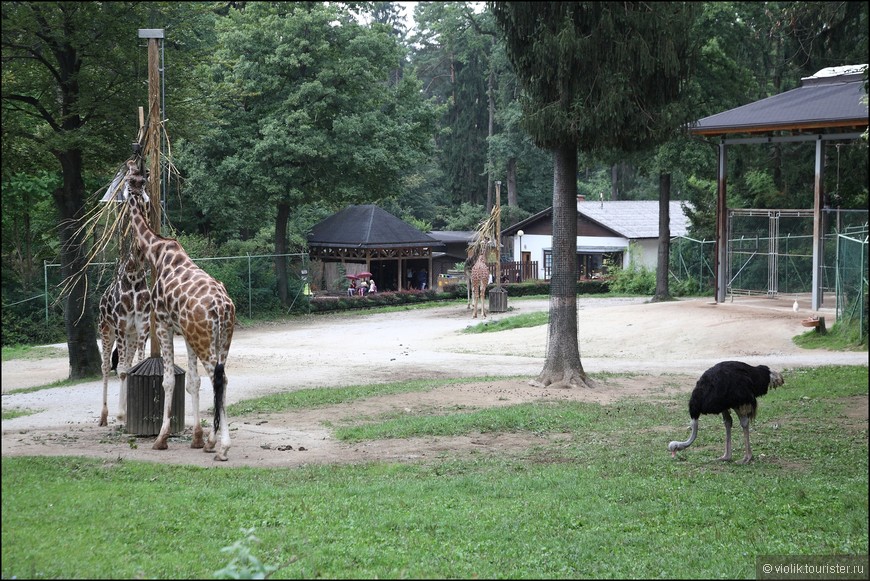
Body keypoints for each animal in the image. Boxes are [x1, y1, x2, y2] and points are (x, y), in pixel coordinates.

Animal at [98, 246, 151, 426]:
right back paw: (104, 416)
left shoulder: (143, 328)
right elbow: (120, 370)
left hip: (131, 336)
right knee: (106, 366)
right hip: (106, 330)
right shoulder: (120, 326)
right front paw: (120, 414)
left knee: (127, 365)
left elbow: (137, 366)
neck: (134, 279)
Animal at [122, 161, 238, 460]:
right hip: (221, 339)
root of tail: (222, 307)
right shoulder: (185, 332)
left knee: (218, 378)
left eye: (129, 178)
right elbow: (193, 382)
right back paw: (214, 443)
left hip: (205, 340)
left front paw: (161, 438)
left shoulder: (163, 323)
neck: (156, 252)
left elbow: (168, 382)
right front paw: (198, 439)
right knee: (222, 379)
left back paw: (224, 448)